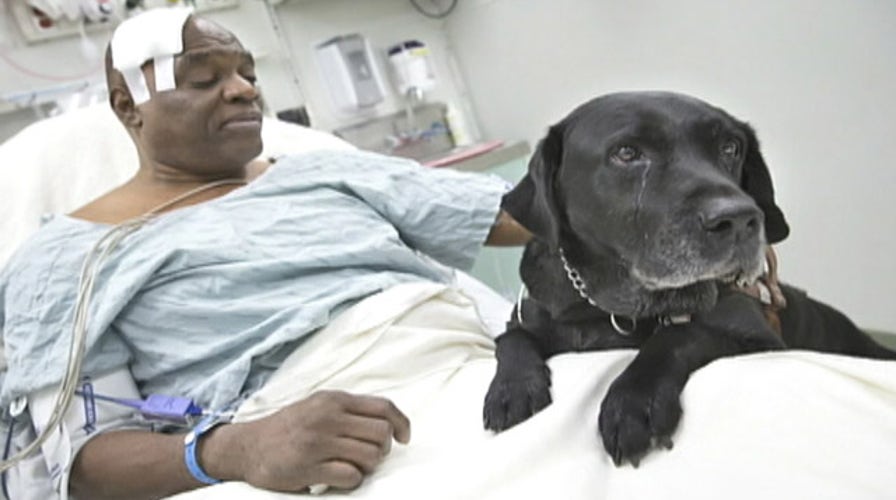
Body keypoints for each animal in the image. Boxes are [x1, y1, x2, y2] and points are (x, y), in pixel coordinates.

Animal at [486, 92, 892, 466]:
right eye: (627, 153)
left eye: (731, 147)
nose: (741, 219)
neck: (608, 308)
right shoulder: (526, 318)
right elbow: (511, 339)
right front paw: (512, 389)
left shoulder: (762, 340)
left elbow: (679, 334)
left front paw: (634, 401)